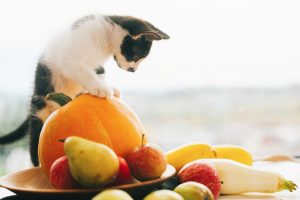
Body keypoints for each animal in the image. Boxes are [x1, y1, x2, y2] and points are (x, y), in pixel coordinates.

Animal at [0, 12, 169, 166]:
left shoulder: (97, 64)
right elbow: (83, 70)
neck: (105, 37)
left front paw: (108, 87)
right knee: (35, 132)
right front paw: (100, 88)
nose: (133, 70)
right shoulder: (70, 56)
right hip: (41, 105)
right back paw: (37, 163)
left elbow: (99, 72)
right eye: (135, 57)